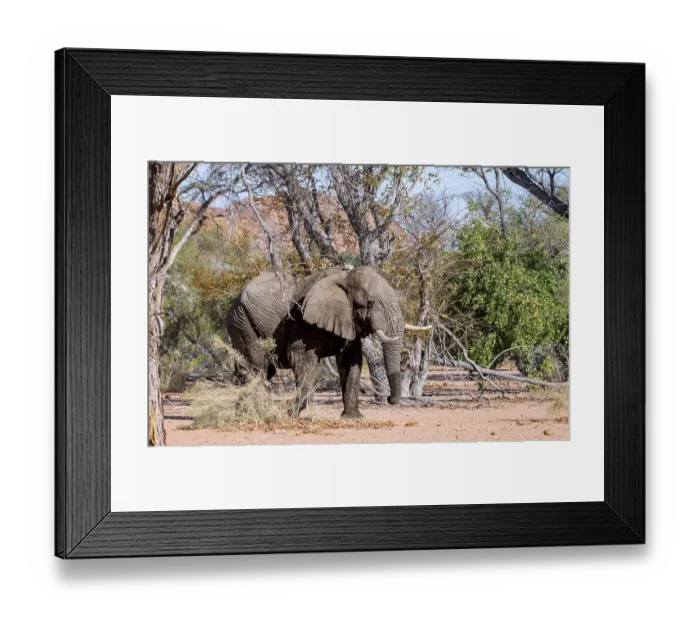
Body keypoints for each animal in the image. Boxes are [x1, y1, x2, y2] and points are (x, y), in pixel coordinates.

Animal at [225, 266, 430, 419]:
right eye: (370, 303)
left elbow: (351, 361)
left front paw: (353, 418)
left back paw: (244, 413)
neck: (345, 277)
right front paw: (288, 412)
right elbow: (302, 359)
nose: (389, 399)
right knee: (257, 369)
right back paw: (251, 414)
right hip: (242, 323)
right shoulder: (302, 321)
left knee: (263, 371)